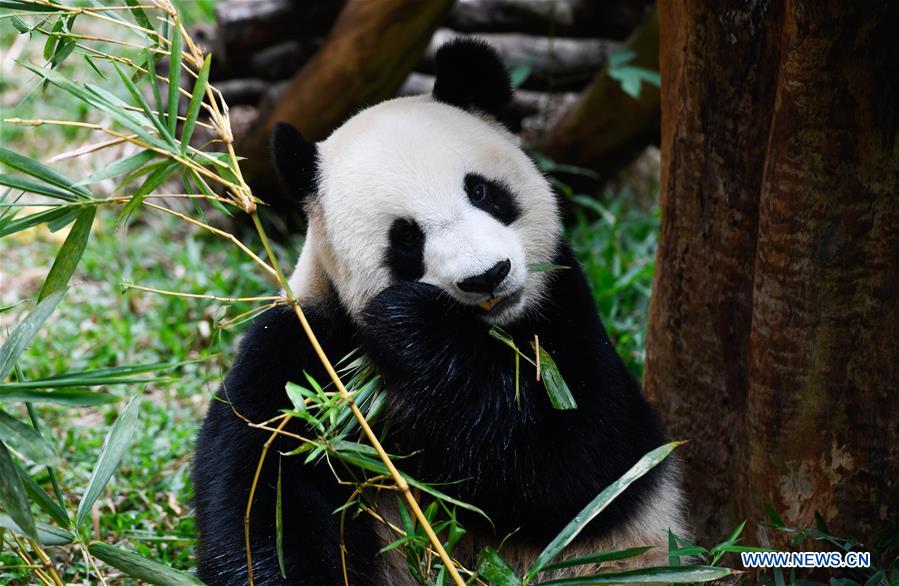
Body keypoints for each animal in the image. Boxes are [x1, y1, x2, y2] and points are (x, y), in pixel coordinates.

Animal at [193, 39, 686, 585]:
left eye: (482, 191)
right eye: (406, 238)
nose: (487, 276)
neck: (491, 334)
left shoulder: (565, 313)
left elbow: (583, 467)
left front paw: (411, 323)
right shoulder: (307, 346)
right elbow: (262, 487)